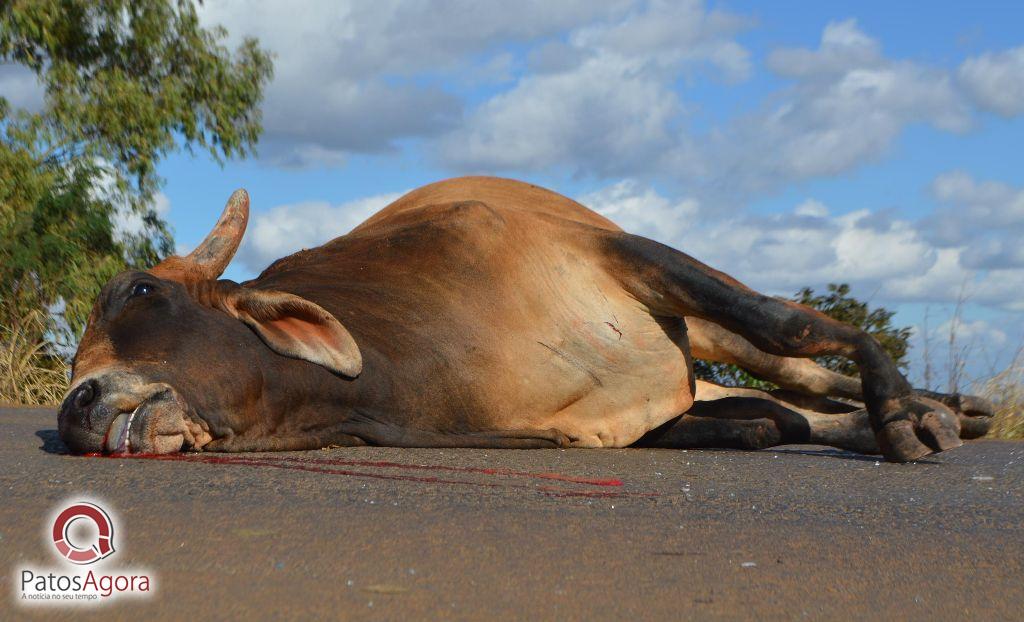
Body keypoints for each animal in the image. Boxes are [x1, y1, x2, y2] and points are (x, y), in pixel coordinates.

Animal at [58, 175, 991, 463]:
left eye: (141, 293)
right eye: (69, 368)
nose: (75, 406)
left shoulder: (618, 253)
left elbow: (789, 324)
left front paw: (905, 420)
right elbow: (769, 421)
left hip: (701, 325)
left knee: (799, 362)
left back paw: (945, 408)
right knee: (791, 408)